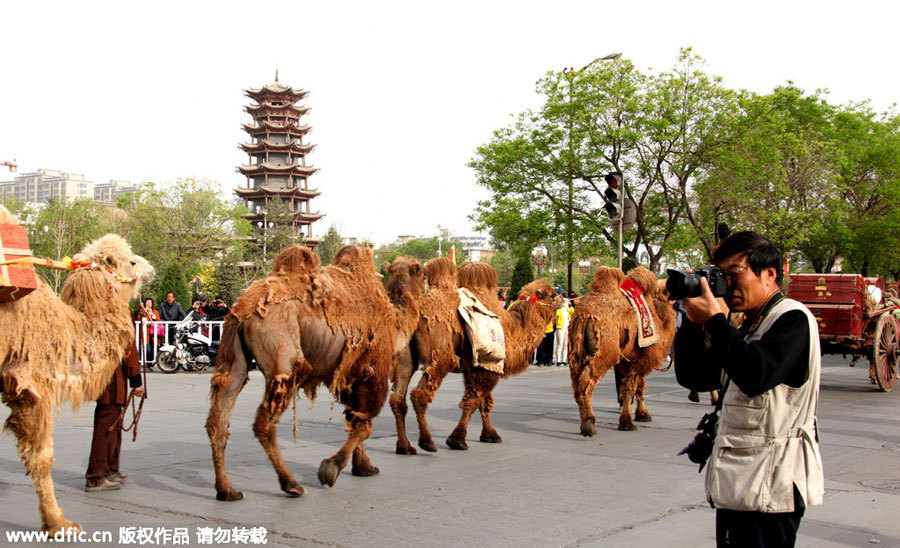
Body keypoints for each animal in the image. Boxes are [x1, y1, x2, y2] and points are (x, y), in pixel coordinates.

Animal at [207, 244, 426, 500]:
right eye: (423, 274)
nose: (427, 287)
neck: (395, 321)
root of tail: (244, 308)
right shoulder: (373, 370)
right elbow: (364, 424)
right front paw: (331, 469)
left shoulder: (349, 374)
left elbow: (354, 417)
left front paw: (364, 467)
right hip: (284, 358)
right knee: (265, 420)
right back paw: (291, 484)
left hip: (234, 357)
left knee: (221, 413)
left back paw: (227, 489)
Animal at [392, 260, 560, 454]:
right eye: (551, 294)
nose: (562, 299)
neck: (513, 328)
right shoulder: (489, 364)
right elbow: (473, 401)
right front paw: (457, 440)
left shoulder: (480, 366)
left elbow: (485, 402)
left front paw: (490, 435)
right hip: (440, 355)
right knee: (419, 394)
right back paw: (427, 442)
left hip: (405, 358)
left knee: (397, 397)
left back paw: (405, 446)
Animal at [568, 266, 676, 436]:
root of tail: (584, 316)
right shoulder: (638, 358)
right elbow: (632, 387)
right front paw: (631, 420)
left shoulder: (626, 360)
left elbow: (631, 386)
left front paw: (637, 415)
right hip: (606, 352)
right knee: (586, 381)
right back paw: (589, 425)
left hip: (575, 354)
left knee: (576, 384)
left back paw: (585, 423)